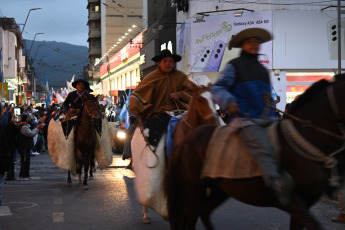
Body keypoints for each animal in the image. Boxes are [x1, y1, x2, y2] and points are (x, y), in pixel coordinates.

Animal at [163, 77, 344, 230]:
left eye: (214, 101)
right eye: (200, 99)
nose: (215, 119)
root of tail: (184, 144)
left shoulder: (302, 207)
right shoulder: (295, 202)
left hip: (218, 190)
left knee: (204, 212)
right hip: (194, 192)